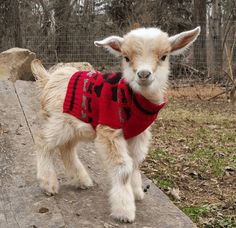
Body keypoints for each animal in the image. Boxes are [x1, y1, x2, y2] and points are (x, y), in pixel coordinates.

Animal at [31, 26, 200, 223]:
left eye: (164, 56)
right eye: (126, 57)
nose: (143, 74)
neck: (133, 98)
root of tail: (49, 79)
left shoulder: (138, 134)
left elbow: (135, 162)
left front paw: (136, 192)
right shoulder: (109, 131)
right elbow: (123, 167)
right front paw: (125, 211)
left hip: (76, 126)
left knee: (67, 148)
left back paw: (82, 180)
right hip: (59, 121)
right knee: (43, 141)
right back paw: (48, 184)